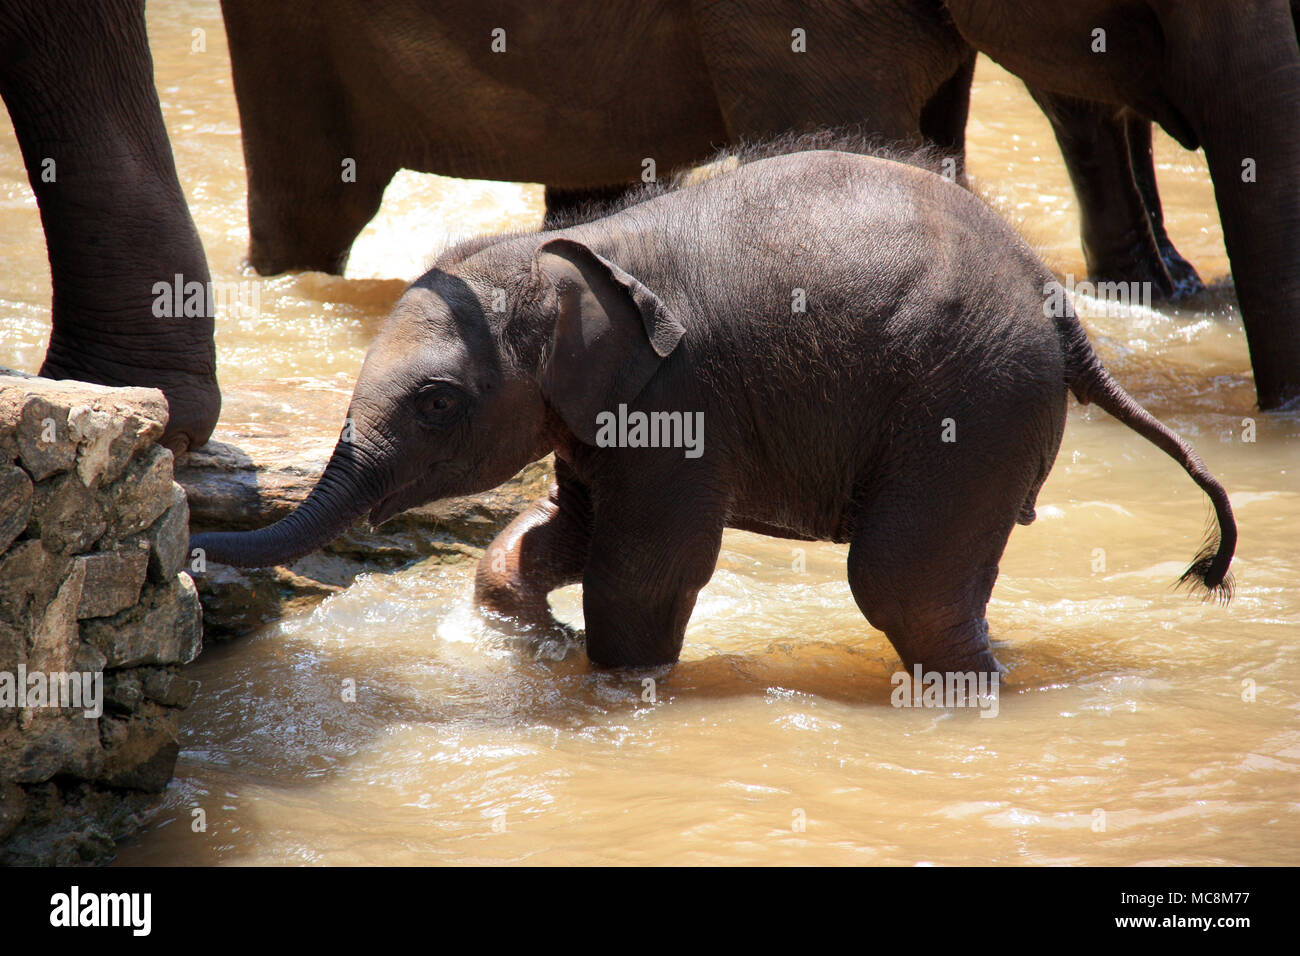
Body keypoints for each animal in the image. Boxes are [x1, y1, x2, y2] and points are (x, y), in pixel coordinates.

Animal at [190, 143, 1236, 678]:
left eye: (438, 403)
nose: (194, 546)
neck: (571, 248)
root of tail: (1064, 314)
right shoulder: (602, 412)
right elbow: (561, 533)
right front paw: (538, 641)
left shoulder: (682, 397)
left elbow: (642, 569)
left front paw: (613, 685)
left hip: (975, 401)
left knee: (900, 582)